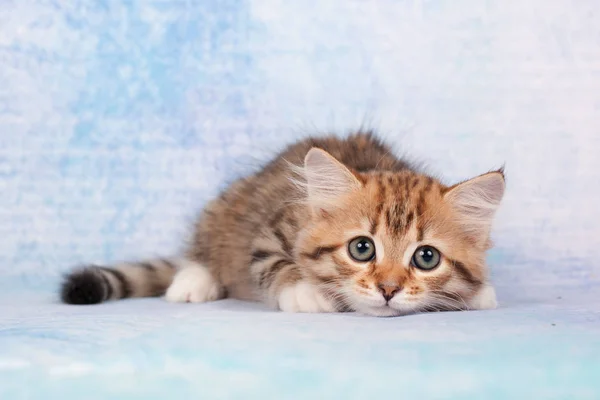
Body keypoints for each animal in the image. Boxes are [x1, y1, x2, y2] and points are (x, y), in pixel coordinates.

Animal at [61, 133, 504, 318]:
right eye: (362, 248)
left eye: (426, 258)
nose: (388, 289)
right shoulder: (271, 230)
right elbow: (274, 263)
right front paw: (306, 292)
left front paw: (478, 294)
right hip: (223, 209)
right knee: (200, 253)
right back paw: (192, 283)